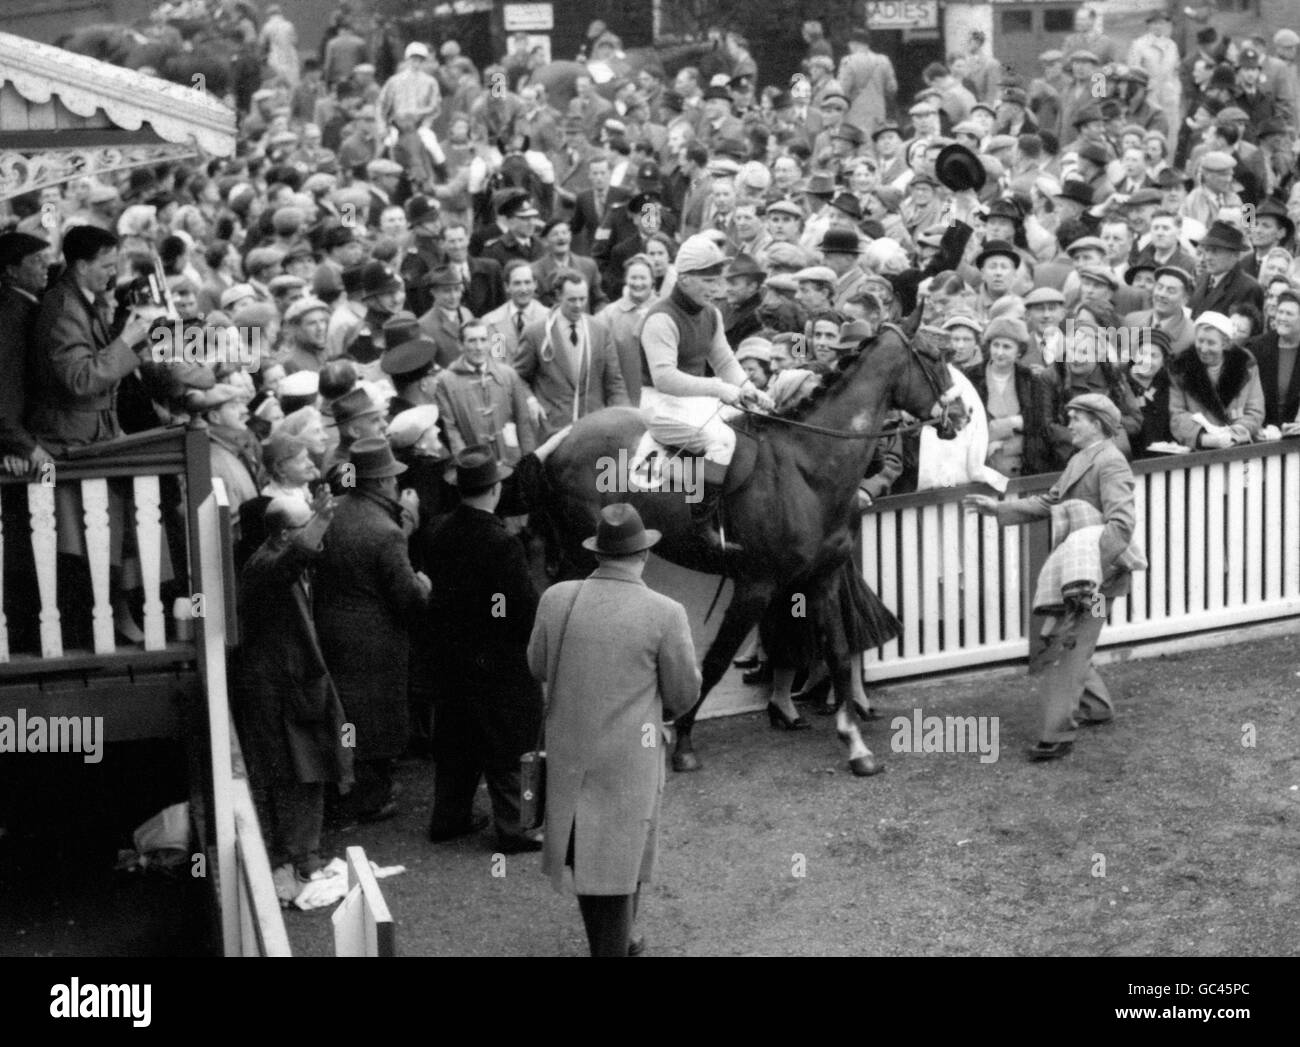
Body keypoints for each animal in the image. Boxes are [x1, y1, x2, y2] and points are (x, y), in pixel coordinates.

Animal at [533, 326, 972, 775]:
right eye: (934, 356)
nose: (963, 413)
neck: (806, 468)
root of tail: (564, 438)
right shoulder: (755, 586)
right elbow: (714, 662)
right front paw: (683, 739)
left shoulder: (824, 578)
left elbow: (838, 653)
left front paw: (855, 742)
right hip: (581, 554)